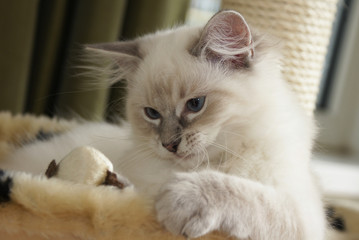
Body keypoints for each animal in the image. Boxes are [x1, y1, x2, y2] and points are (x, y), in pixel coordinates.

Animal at [0, 10, 326, 239]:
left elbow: (249, 196)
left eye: (195, 105)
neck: (215, 161)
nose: (169, 144)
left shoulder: (303, 214)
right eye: (151, 113)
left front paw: (181, 199)